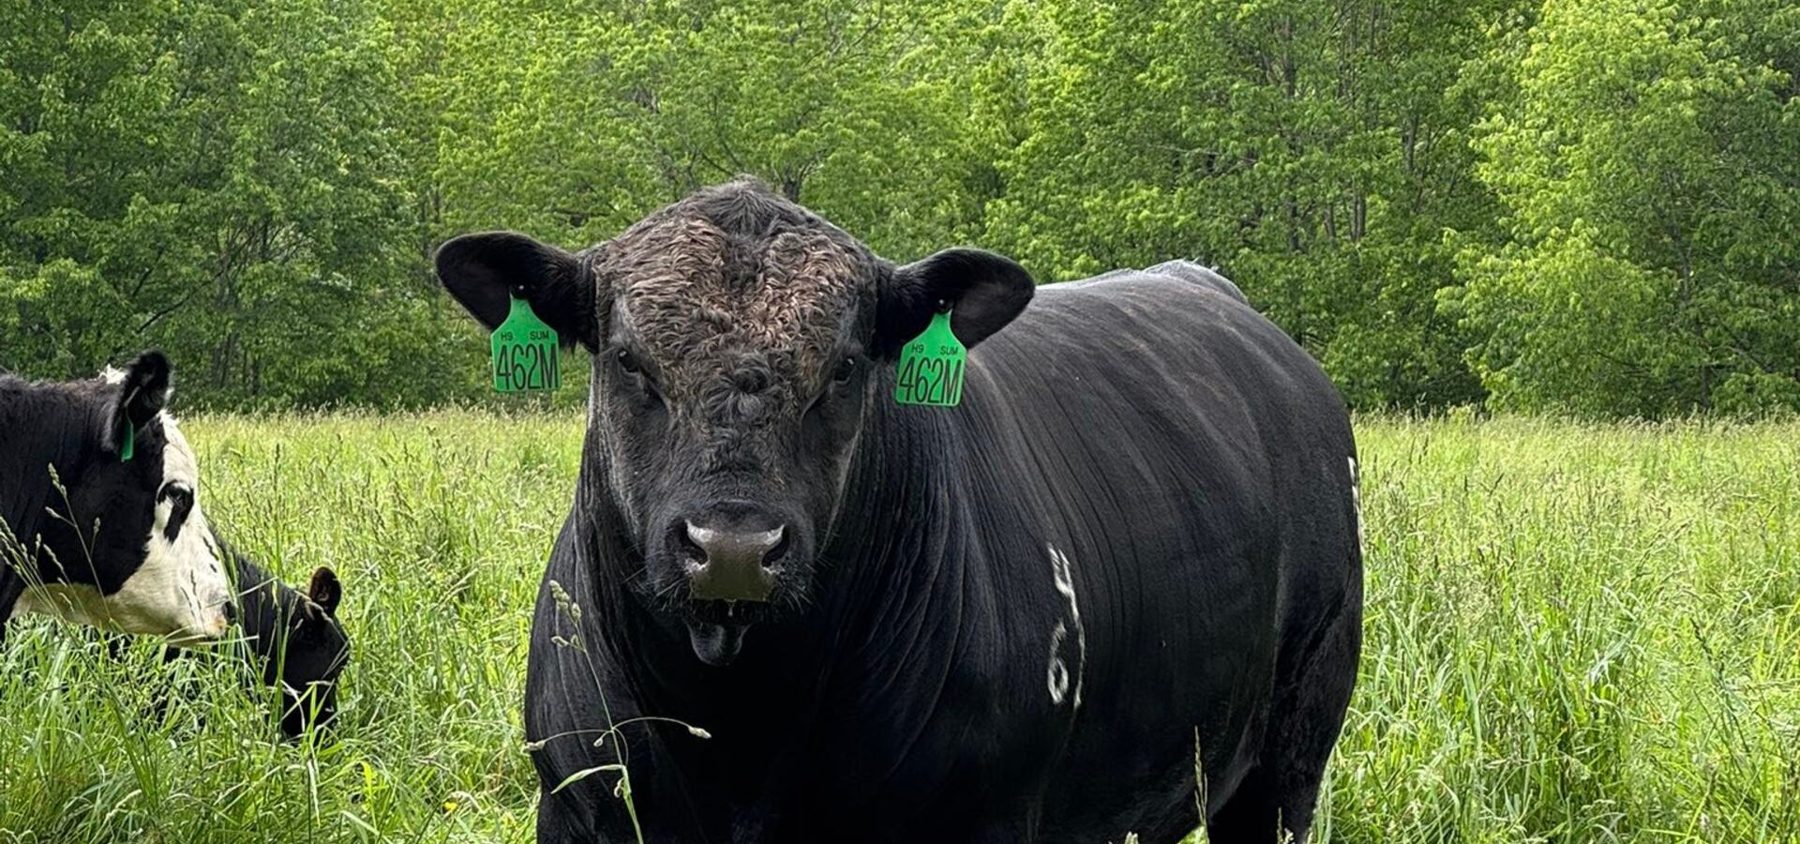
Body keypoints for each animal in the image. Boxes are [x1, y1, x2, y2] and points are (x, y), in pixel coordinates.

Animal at [437, 180, 1363, 843]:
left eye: (846, 366)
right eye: (629, 360)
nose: (732, 546)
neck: (739, 736)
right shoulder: (575, 804)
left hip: (1290, 756)